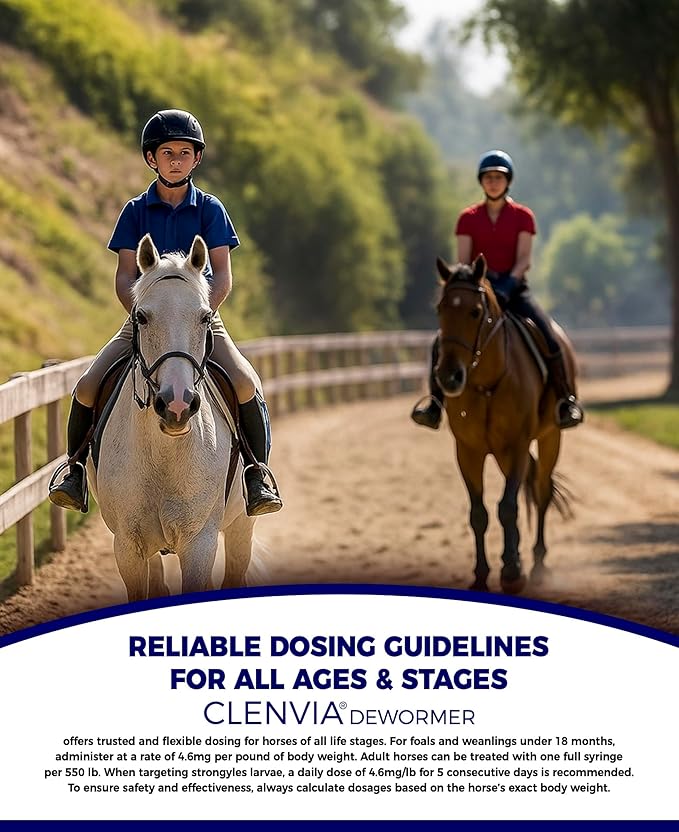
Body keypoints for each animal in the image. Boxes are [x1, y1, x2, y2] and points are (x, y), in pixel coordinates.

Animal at [87, 234, 258, 601]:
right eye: (141, 317)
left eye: (205, 318)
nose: (177, 404)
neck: (165, 453)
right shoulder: (128, 546)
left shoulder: (199, 544)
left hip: (241, 525)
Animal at [434, 254, 574, 594]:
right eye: (440, 309)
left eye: (475, 312)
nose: (449, 376)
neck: (486, 383)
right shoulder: (468, 451)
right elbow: (479, 513)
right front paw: (481, 576)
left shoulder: (518, 444)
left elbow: (507, 507)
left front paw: (512, 572)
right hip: (500, 453)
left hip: (550, 438)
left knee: (541, 490)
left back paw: (537, 565)